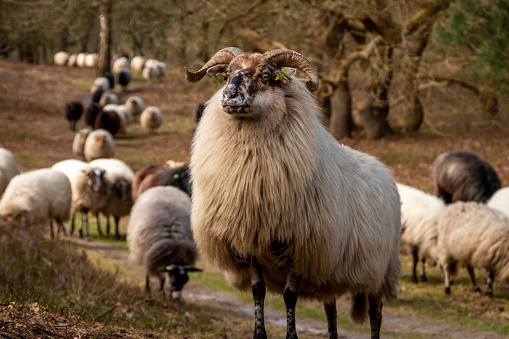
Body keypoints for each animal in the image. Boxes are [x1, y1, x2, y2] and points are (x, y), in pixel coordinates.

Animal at [186, 46, 400, 338]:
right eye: (228, 73)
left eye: (266, 75)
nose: (228, 96)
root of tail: (383, 167)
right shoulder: (250, 239)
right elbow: (258, 291)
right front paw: (259, 334)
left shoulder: (301, 244)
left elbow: (289, 295)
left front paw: (291, 335)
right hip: (333, 276)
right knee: (331, 311)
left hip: (379, 272)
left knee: (375, 315)